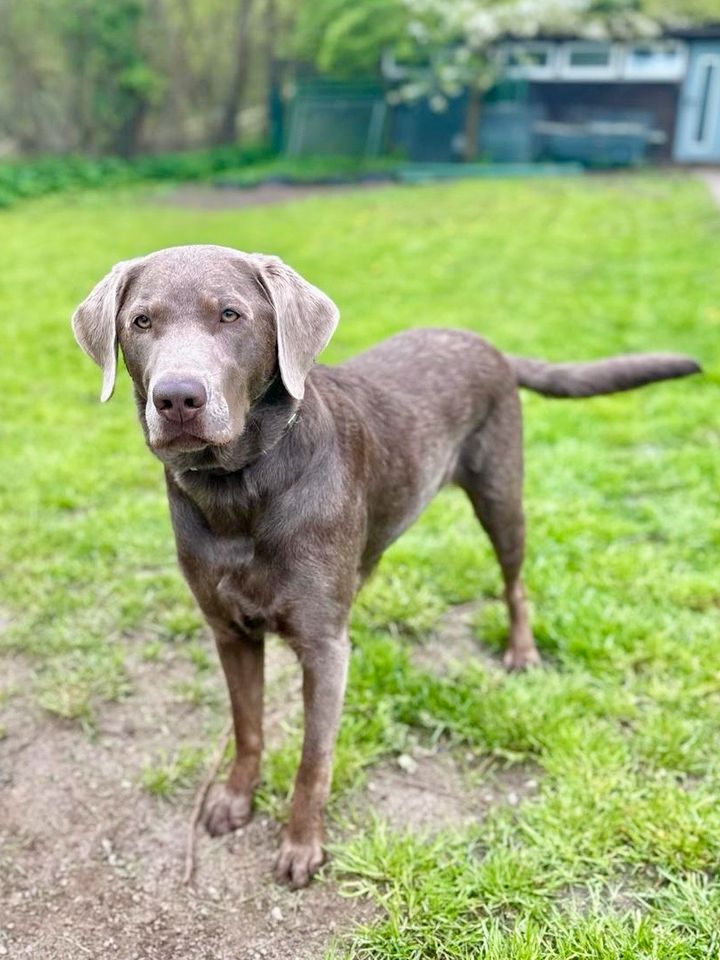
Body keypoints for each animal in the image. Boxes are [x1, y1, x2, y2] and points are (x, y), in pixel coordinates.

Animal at [71, 244, 696, 888]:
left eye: (230, 314)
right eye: (141, 322)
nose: (176, 398)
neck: (239, 490)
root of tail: (487, 344)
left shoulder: (322, 645)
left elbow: (314, 759)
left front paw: (301, 846)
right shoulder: (229, 631)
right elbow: (248, 727)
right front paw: (235, 799)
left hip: (501, 498)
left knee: (515, 582)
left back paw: (521, 652)